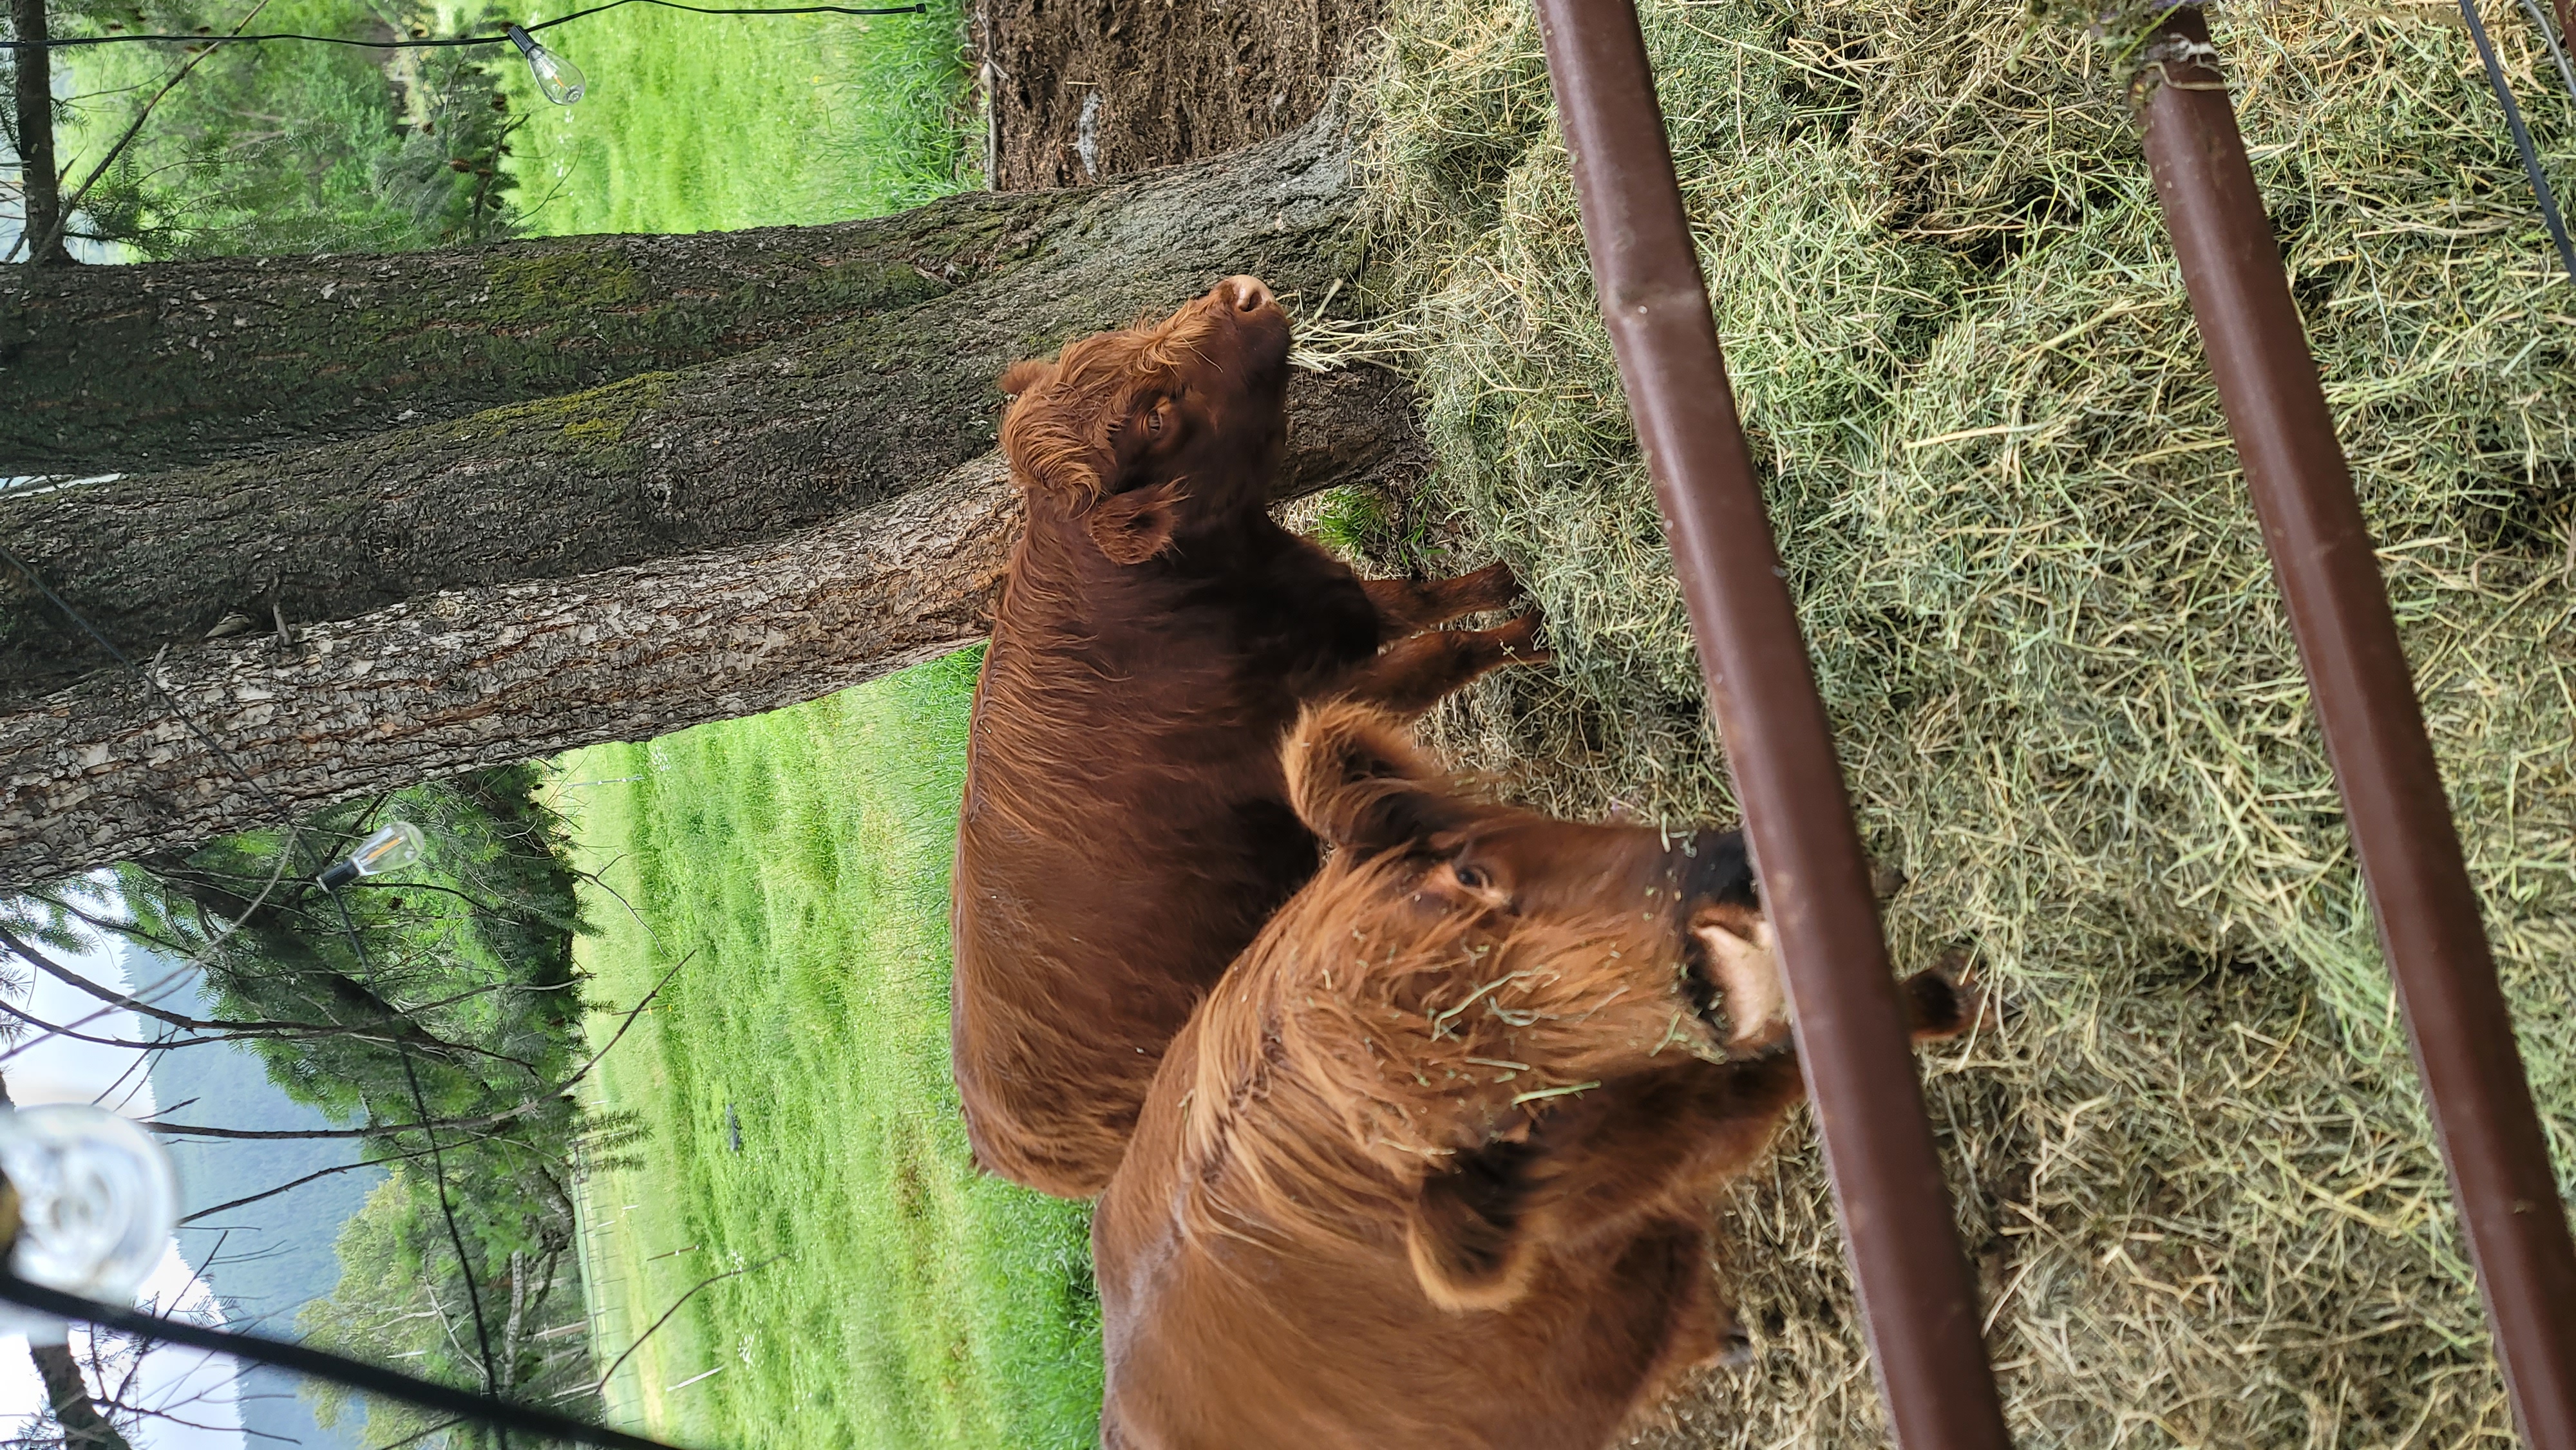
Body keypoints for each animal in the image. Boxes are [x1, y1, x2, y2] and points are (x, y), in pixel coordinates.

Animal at [951, 276, 1547, 1200]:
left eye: (1128, 344)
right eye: (1155, 416)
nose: (1244, 293)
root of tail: (996, 1141)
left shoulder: (1341, 613)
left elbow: (1429, 596)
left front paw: (1512, 577)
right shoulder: (1318, 709)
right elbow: (1444, 649)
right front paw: (1539, 633)